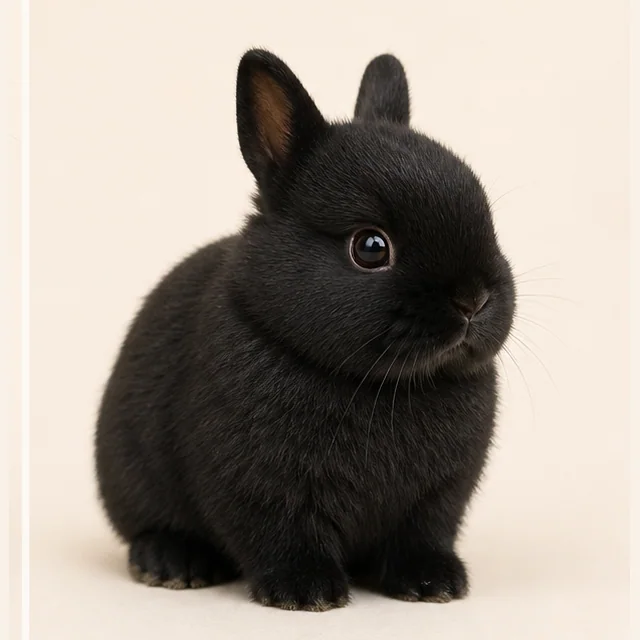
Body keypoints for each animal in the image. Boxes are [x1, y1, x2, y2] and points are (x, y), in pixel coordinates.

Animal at [95, 48, 516, 612]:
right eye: (371, 247)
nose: (474, 299)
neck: (383, 385)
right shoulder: (259, 486)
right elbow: (281, 534)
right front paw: (306, 591)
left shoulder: (440, 496)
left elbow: (422, 534)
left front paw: (435, 583)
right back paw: (170, 563)